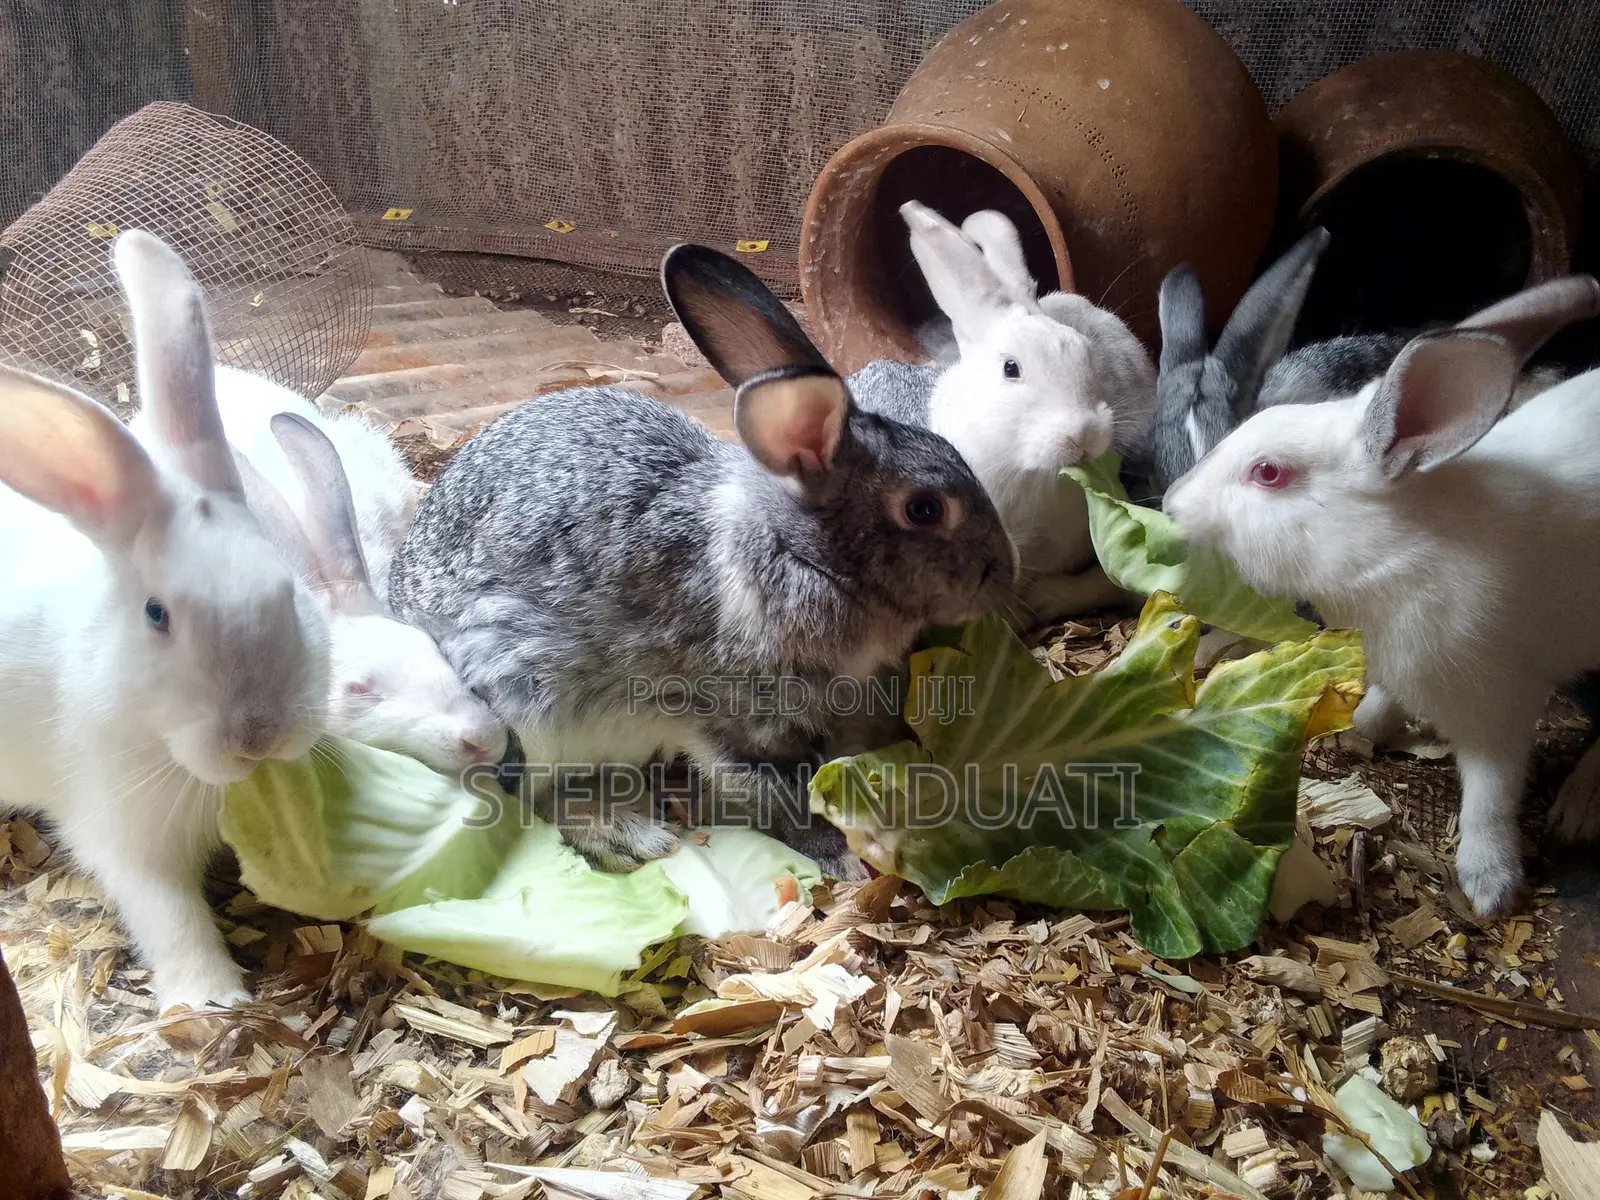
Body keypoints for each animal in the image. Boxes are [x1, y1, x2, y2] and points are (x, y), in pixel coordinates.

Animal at [0, 230, 331, 1009]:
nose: (258, 737)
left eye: (285, 590)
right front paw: (212, 999)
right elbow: (168, 912)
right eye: (158, 615)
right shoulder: (120, 832)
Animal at [385, 243, 1017, 878]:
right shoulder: (722, 720)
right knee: (533, 800)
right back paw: (628, 834)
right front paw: (840, 855)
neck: (796, 554)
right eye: (924, 509)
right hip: (529, 709)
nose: (1004, 576)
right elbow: (770, 792)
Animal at [1163, 273, 1600, 918]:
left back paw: (1575, 811)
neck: (1394, 556)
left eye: (1268, 473)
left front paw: (1489, 885)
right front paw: (1361, 728)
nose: (1171, 502)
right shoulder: (1399, 662)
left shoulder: (1499, 705)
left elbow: (1490, 797)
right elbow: (1384, 702)